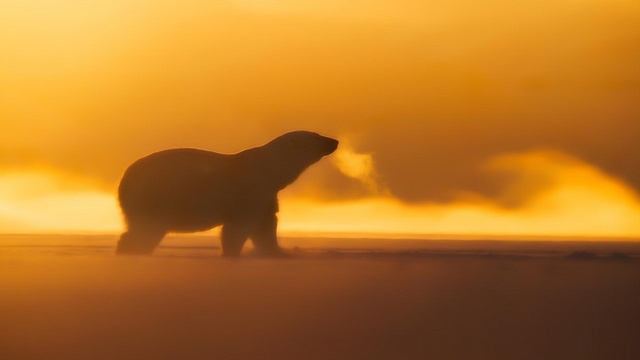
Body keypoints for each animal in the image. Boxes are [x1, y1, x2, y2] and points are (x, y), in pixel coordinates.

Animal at [115, 131, 338, 256]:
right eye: (317, 136)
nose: (334, 141)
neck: (267, 169)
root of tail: (124, 181)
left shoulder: (266, 195)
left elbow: (265, 227)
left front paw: (278, 252)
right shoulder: (250, 191)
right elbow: (237, 229)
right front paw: (231, 253)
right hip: (156, 198)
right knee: (145, 231)